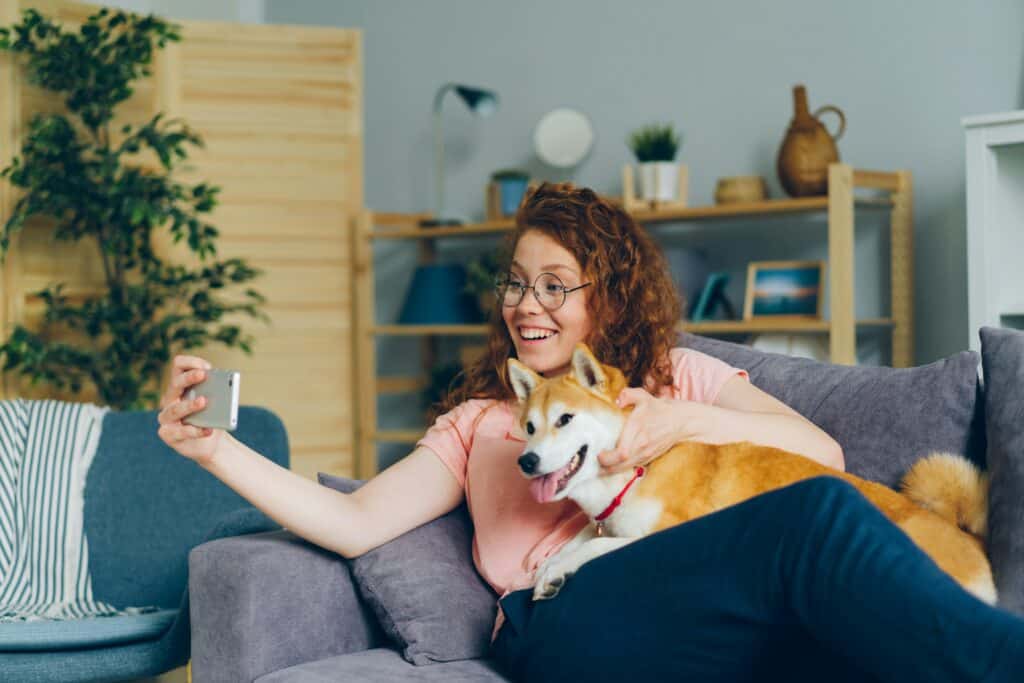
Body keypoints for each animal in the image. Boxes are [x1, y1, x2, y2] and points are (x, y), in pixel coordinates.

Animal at [507, 344, 995, 602]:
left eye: (565, 419)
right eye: (529, 427)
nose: (526, 462)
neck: (637, 473)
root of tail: (969, 538)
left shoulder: (664, 532)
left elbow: (592, 548)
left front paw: (559, 569)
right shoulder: (605, 520)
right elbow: (575, 542)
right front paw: (550, 568)